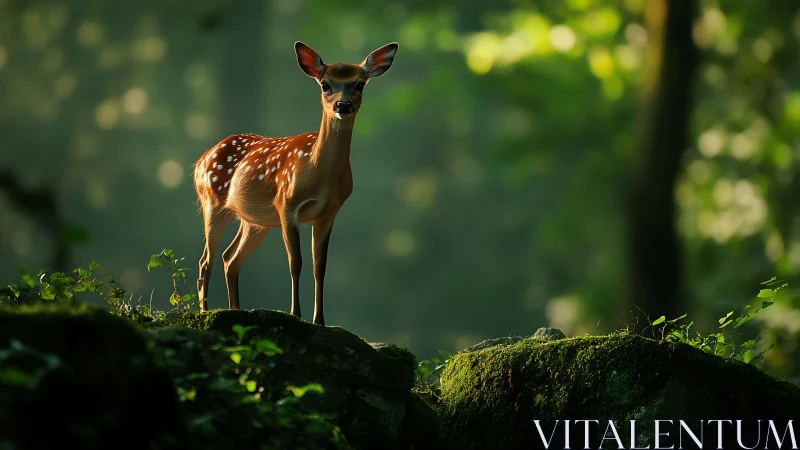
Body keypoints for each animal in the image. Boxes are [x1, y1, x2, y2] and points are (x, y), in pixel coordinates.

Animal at [192, 41, 398, 326]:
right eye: (325, 84)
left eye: (360, 84)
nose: (343, 105)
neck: (319, 173)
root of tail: (200, 160)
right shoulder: (287, 204)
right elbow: (295, 262)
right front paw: (295, 314)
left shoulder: (329, 211)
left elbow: (319, 265)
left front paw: (320, 320)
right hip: (212, 202)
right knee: (206, 260)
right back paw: (205, 314)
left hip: (255, 221)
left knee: (230, 258)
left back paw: (235, 310)